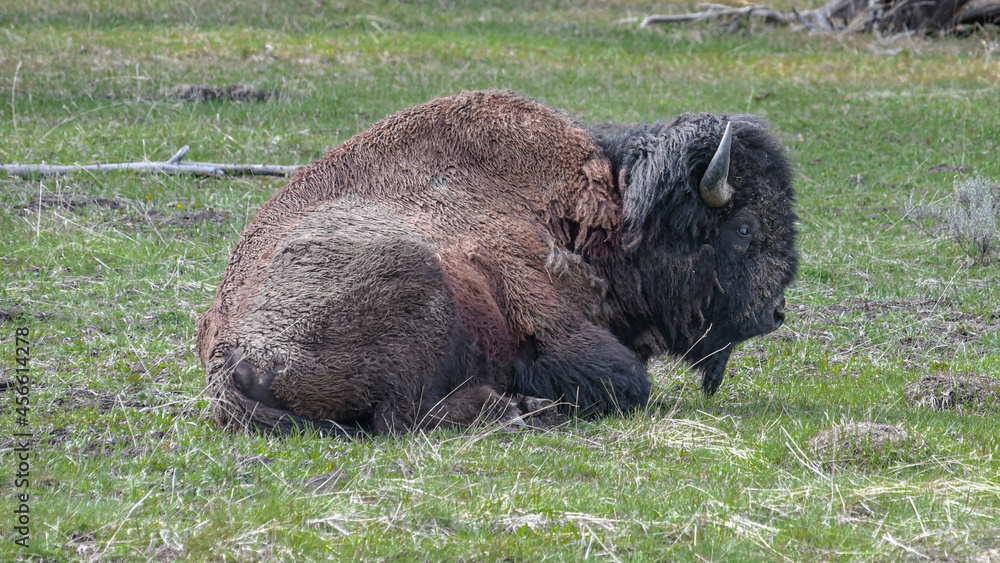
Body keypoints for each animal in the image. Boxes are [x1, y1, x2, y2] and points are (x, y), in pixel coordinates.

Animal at [197, 91, 796, 436]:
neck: (600, 212)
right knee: (403, 417)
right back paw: (522, 409)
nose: (775, 314)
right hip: (418, 283)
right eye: (744, 228)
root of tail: (224, 354)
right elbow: (628, 381)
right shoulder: (555, 325)